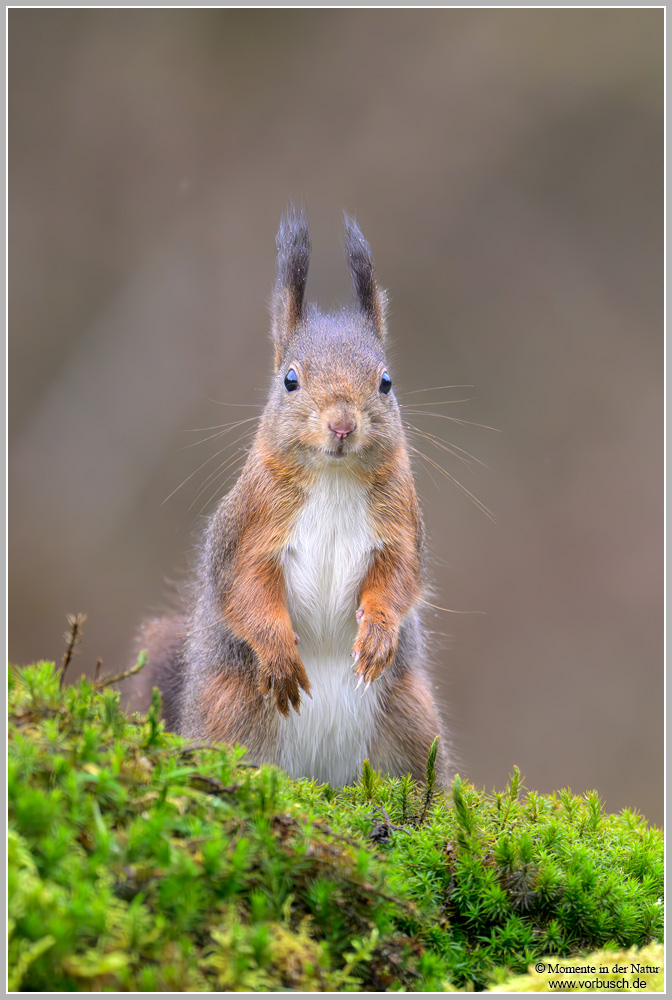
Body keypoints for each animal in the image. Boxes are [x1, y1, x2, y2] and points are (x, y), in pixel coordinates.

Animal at [139, 210, 452, 787]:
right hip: (226, 711)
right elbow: (245, 589)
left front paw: (378, 635)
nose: (342, 425)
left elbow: (399, 579)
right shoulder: (250, 527)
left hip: (412, 719)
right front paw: (280, 654)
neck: (334, 478)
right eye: (289, 380)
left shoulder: (400, 525)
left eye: (386, 382)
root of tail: (319, 776)